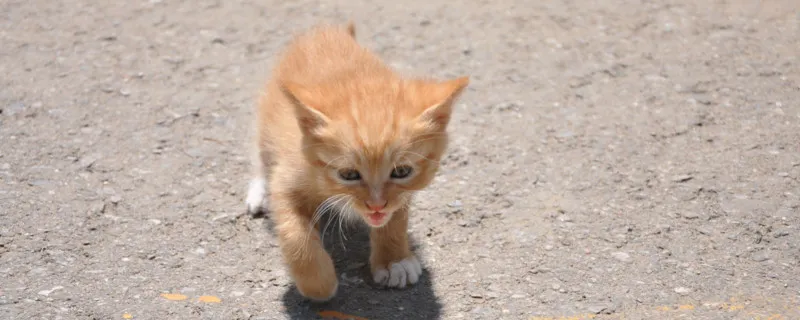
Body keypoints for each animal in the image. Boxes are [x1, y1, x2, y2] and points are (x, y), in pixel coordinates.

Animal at [247, 21, 466, 300]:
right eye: (349, 174)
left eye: (401, 171)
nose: (376, 205)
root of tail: (326, 29)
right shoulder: (287, 176)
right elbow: (294, 232)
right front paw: (318, 283)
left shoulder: (402, 192)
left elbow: (396, 216)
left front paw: (393, 260)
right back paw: (259, 191)